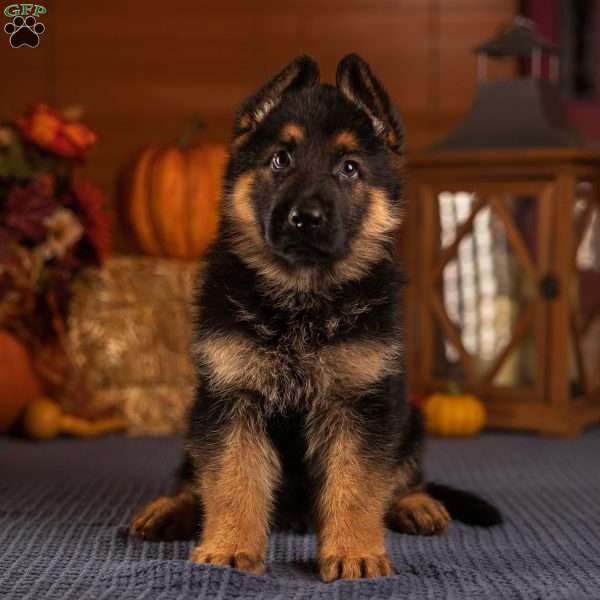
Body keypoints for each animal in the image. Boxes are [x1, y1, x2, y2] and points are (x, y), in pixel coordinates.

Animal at [130, 55, 502, 580]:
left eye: (348, 168)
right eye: (280, 160)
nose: (305, 217)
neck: (301, 299)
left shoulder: (360, 404)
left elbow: (358, 485)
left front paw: (354, 552)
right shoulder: (232, 398)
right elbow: (232, 477)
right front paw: (228, 546)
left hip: (406, 415)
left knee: (402, 476)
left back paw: (416, 504)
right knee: (193, 477)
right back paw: (172, 508)